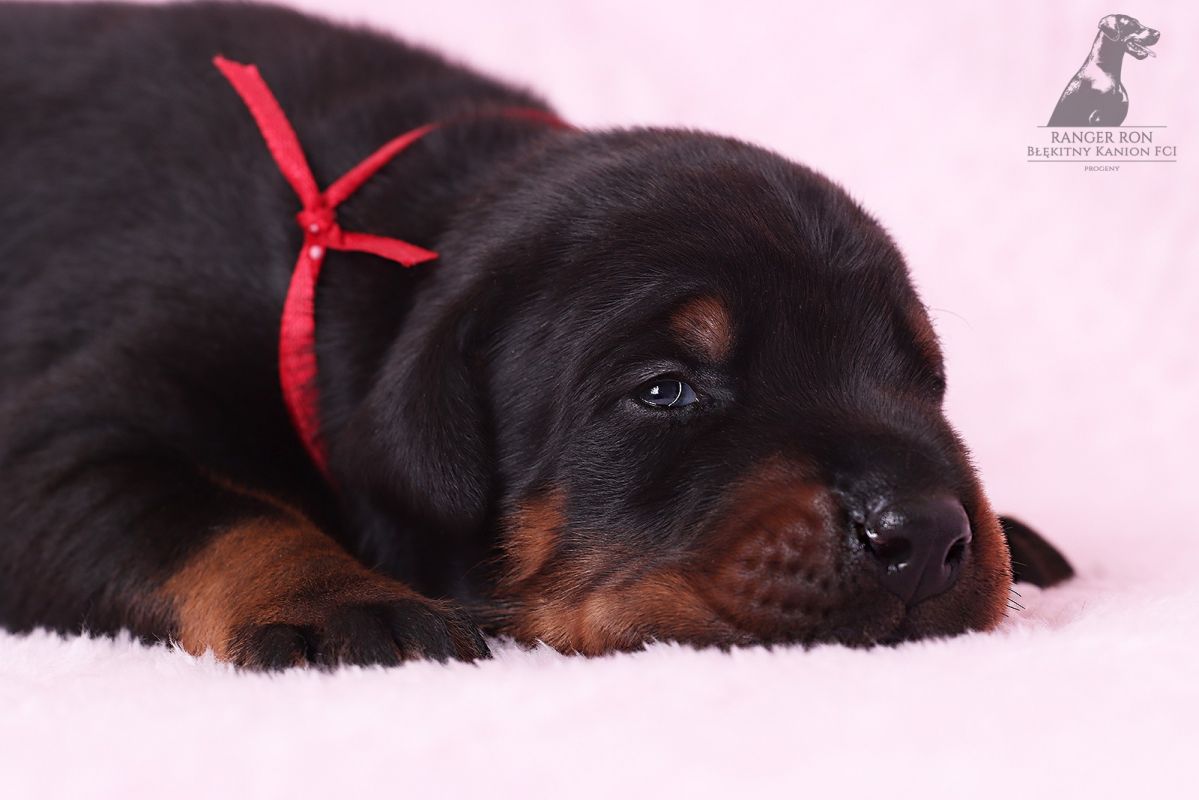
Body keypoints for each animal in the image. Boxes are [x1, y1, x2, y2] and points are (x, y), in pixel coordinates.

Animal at [0, 1, 1072, 668]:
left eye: (923, 378)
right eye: (663, 391)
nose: (925, 530)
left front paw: (1015, 530)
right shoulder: (70, 432)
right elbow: (202, 509)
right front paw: (341, 599)